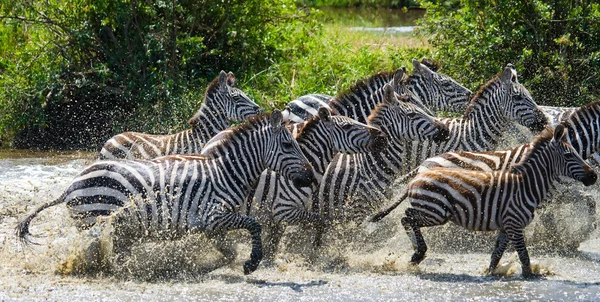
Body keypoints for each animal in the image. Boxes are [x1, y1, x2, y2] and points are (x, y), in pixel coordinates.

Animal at [15, 111, 314, 276]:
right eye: (288, 145)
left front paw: (205, 265)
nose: (311, 177)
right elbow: (254, 225)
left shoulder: (211, 226)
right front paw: (252, 263)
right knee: (98, 252)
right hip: (95, 221)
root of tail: (70, 185)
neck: (226, 173)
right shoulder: (212, 216)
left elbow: (228, 251)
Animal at [370, 124, 596, 278]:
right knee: (407, 218)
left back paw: (418, 252)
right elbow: (523, 255)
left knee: (407, 219)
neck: (526, 185)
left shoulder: (506, 226)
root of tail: (415, 178)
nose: (593, 176)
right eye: (569, 155)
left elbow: (496, 254)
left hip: (432, 210)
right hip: (435, 212)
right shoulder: (514, 223)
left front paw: (489, 273)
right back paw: (418, 253)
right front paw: (529, 275)